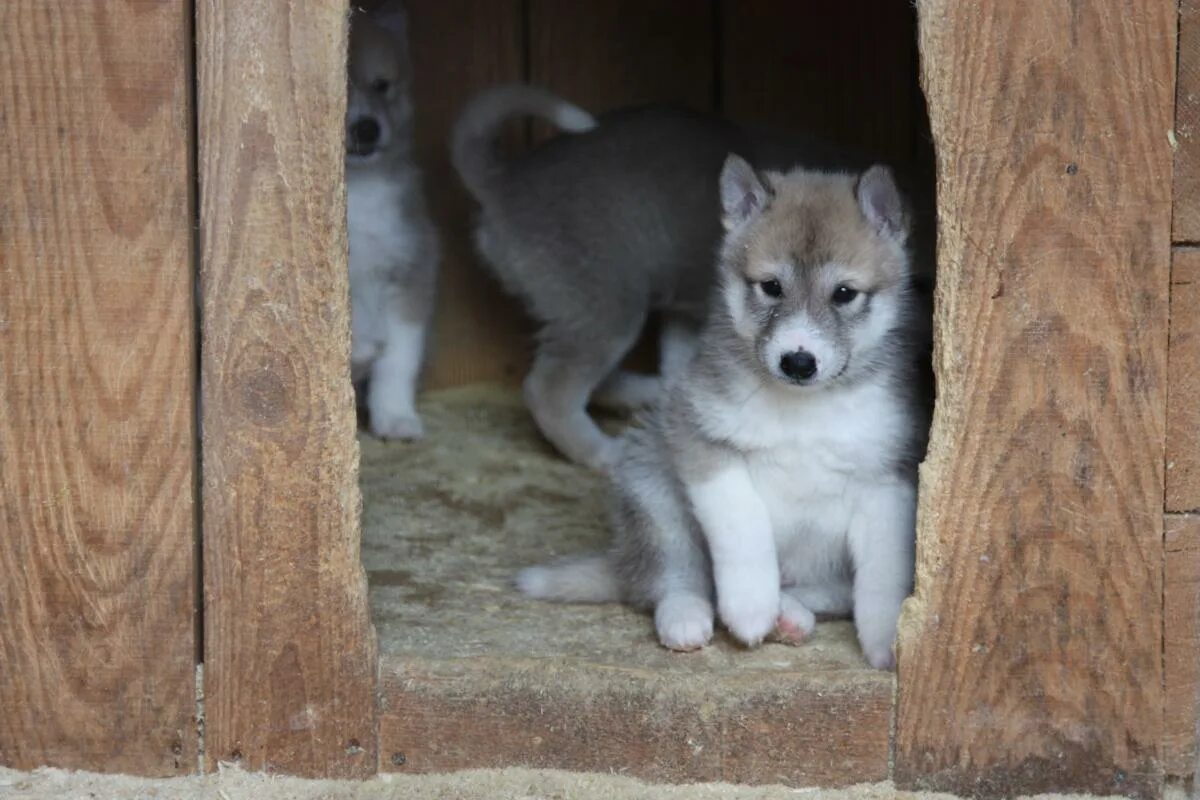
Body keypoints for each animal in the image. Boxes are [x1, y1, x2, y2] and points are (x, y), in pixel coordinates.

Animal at [520, 155, 931, 671]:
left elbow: (882, 577)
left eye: (844, 293)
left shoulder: (889, 482)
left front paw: (885, 644)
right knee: (672, 579)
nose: (798, 361)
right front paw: (750, 608)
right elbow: (743, 530)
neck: (804, 413)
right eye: (771, 287)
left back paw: (790, 614)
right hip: (652, 488)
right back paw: (688, 618)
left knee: (825, 591)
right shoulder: (702, 442)